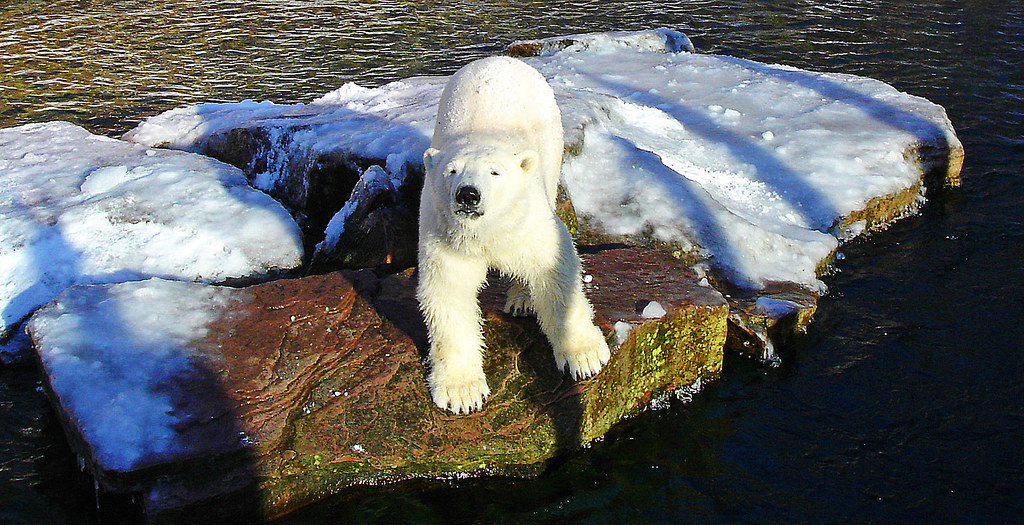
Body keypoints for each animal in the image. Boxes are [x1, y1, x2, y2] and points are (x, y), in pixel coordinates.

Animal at [417, 56, 611, 414]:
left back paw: (521, 299)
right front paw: (461, 392)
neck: (485, 232)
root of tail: (499, 59)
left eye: (495, 172)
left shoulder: (526, 218)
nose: (468, 195)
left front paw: (585, 356)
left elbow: (553, 270)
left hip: (549, 142)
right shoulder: (445, 233)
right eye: (452, 170)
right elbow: (449, 293)